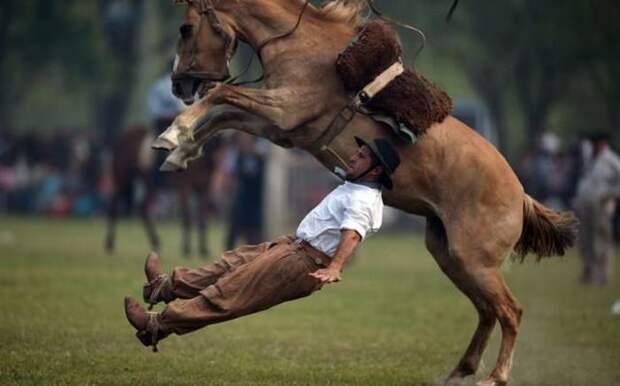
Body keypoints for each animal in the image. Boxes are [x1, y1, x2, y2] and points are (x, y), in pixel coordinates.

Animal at [105, 122, 222, 258]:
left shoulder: (204, 188)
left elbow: (202, 218)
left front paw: (203, 249)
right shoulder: (184, 187)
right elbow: (187, 216)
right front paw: (186, 248)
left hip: (150, 184)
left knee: (142, 208)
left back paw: (155, 242)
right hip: (122, 177)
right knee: (115, 206)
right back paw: (110, 244)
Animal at [153, 1, 580, 384]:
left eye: (185, 28)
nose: (178, 84)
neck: (304, 47)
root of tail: (520, 193)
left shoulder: (283, 110)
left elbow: (222, 97)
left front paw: (172, 134)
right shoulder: (279, 127)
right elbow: (224, 115)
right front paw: (178, 152)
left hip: (475, 261)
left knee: (510, 311)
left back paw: (496, 376)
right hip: (451, 256)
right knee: (487, 311)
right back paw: (460, 371)